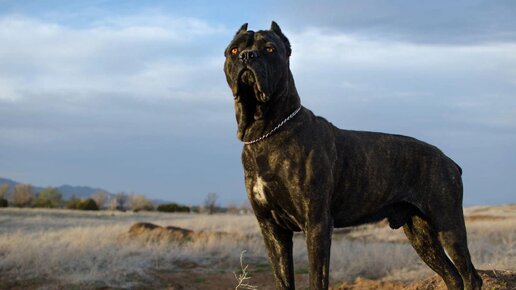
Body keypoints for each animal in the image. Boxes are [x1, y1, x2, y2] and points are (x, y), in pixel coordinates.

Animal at [223, 22, 484, 290]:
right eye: (233, 50)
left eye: (270, 49)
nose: (247, 56)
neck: (266, 133)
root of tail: (449, 161)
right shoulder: (272, 229)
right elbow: (283, 278)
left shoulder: (316, 224)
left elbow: (317, 279)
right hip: (421, 235)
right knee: (452, 276)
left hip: (448, 223)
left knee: (470, 276)